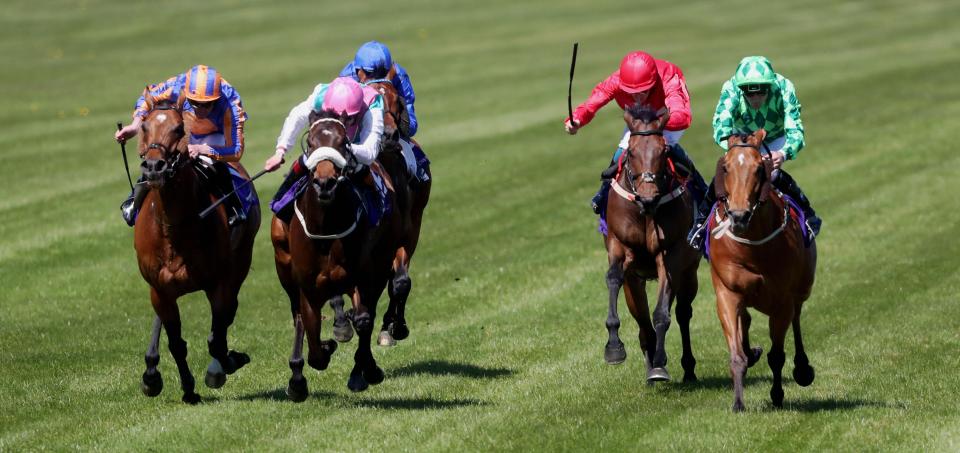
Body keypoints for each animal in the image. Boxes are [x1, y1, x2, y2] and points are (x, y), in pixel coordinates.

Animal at [132, 102, 258, 402]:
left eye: (179, 129)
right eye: (144, 126)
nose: (153, 166)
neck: (172, 227)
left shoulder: (219, 283)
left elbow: (217, 340)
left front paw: (225, 366)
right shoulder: (159, 288)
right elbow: (177, 343)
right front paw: (188, 388)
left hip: (241, 260)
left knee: (227, 316)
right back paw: (151, 373)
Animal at [272, 109, 404, 400]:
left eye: (344, 143)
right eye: (310, 143)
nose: (325, 182)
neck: (326, 229)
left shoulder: (361, 277)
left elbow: (364, 319)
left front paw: (367, 369)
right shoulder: (308, 289)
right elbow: (314, 348)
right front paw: (310, 364)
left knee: (367, 314)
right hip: (284, 268)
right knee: (297, 314)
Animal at [600, 105, 696, 382]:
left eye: (664, 151)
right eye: (631, 152)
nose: (648, 198)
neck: (645, 212)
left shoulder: (670, 255)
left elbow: (662, 314)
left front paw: (660, 364)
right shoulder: (619, 247)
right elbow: (613, 278)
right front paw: (614, 348)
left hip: (690, 272)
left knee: (683, 313)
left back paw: (687, 368)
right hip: (635, 281)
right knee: (642, 322)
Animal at [704, 129, 816, 412]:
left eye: (758, 168)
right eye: (726, 167)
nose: (739, 215)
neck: (752, 247)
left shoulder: (783, 300)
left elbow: (777, 355)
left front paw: (777, 395)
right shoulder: (727, 293)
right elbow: (736, 355)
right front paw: (738, 403)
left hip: (802, 289)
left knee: (797, 319)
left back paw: (803, 369)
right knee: (746, 319)